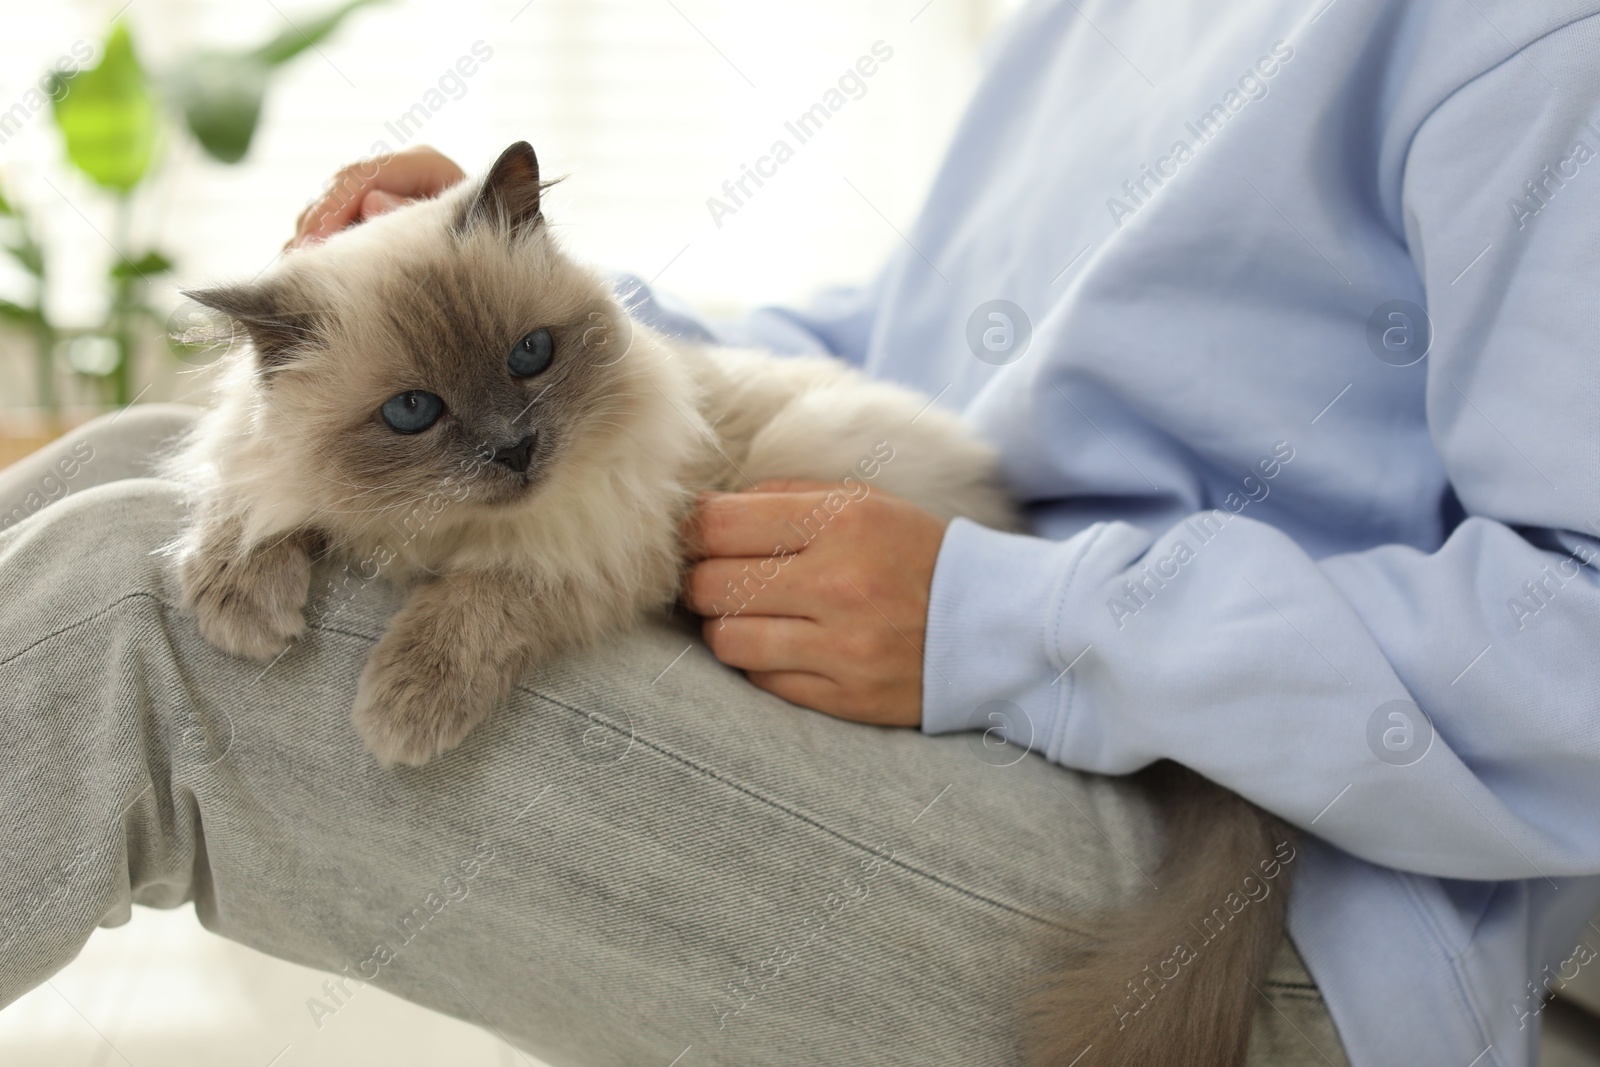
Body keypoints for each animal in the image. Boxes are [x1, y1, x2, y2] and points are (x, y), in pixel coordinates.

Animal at [175, 143, 1292, 1067]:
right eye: (414, 411)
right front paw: (240, 607)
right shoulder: (277, 476)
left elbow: (475, 602)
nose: (517, 451)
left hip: (805, 445)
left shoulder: (596, 551)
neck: (426, 532)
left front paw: (402, 708)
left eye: (532, 355)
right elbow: (243, 502)